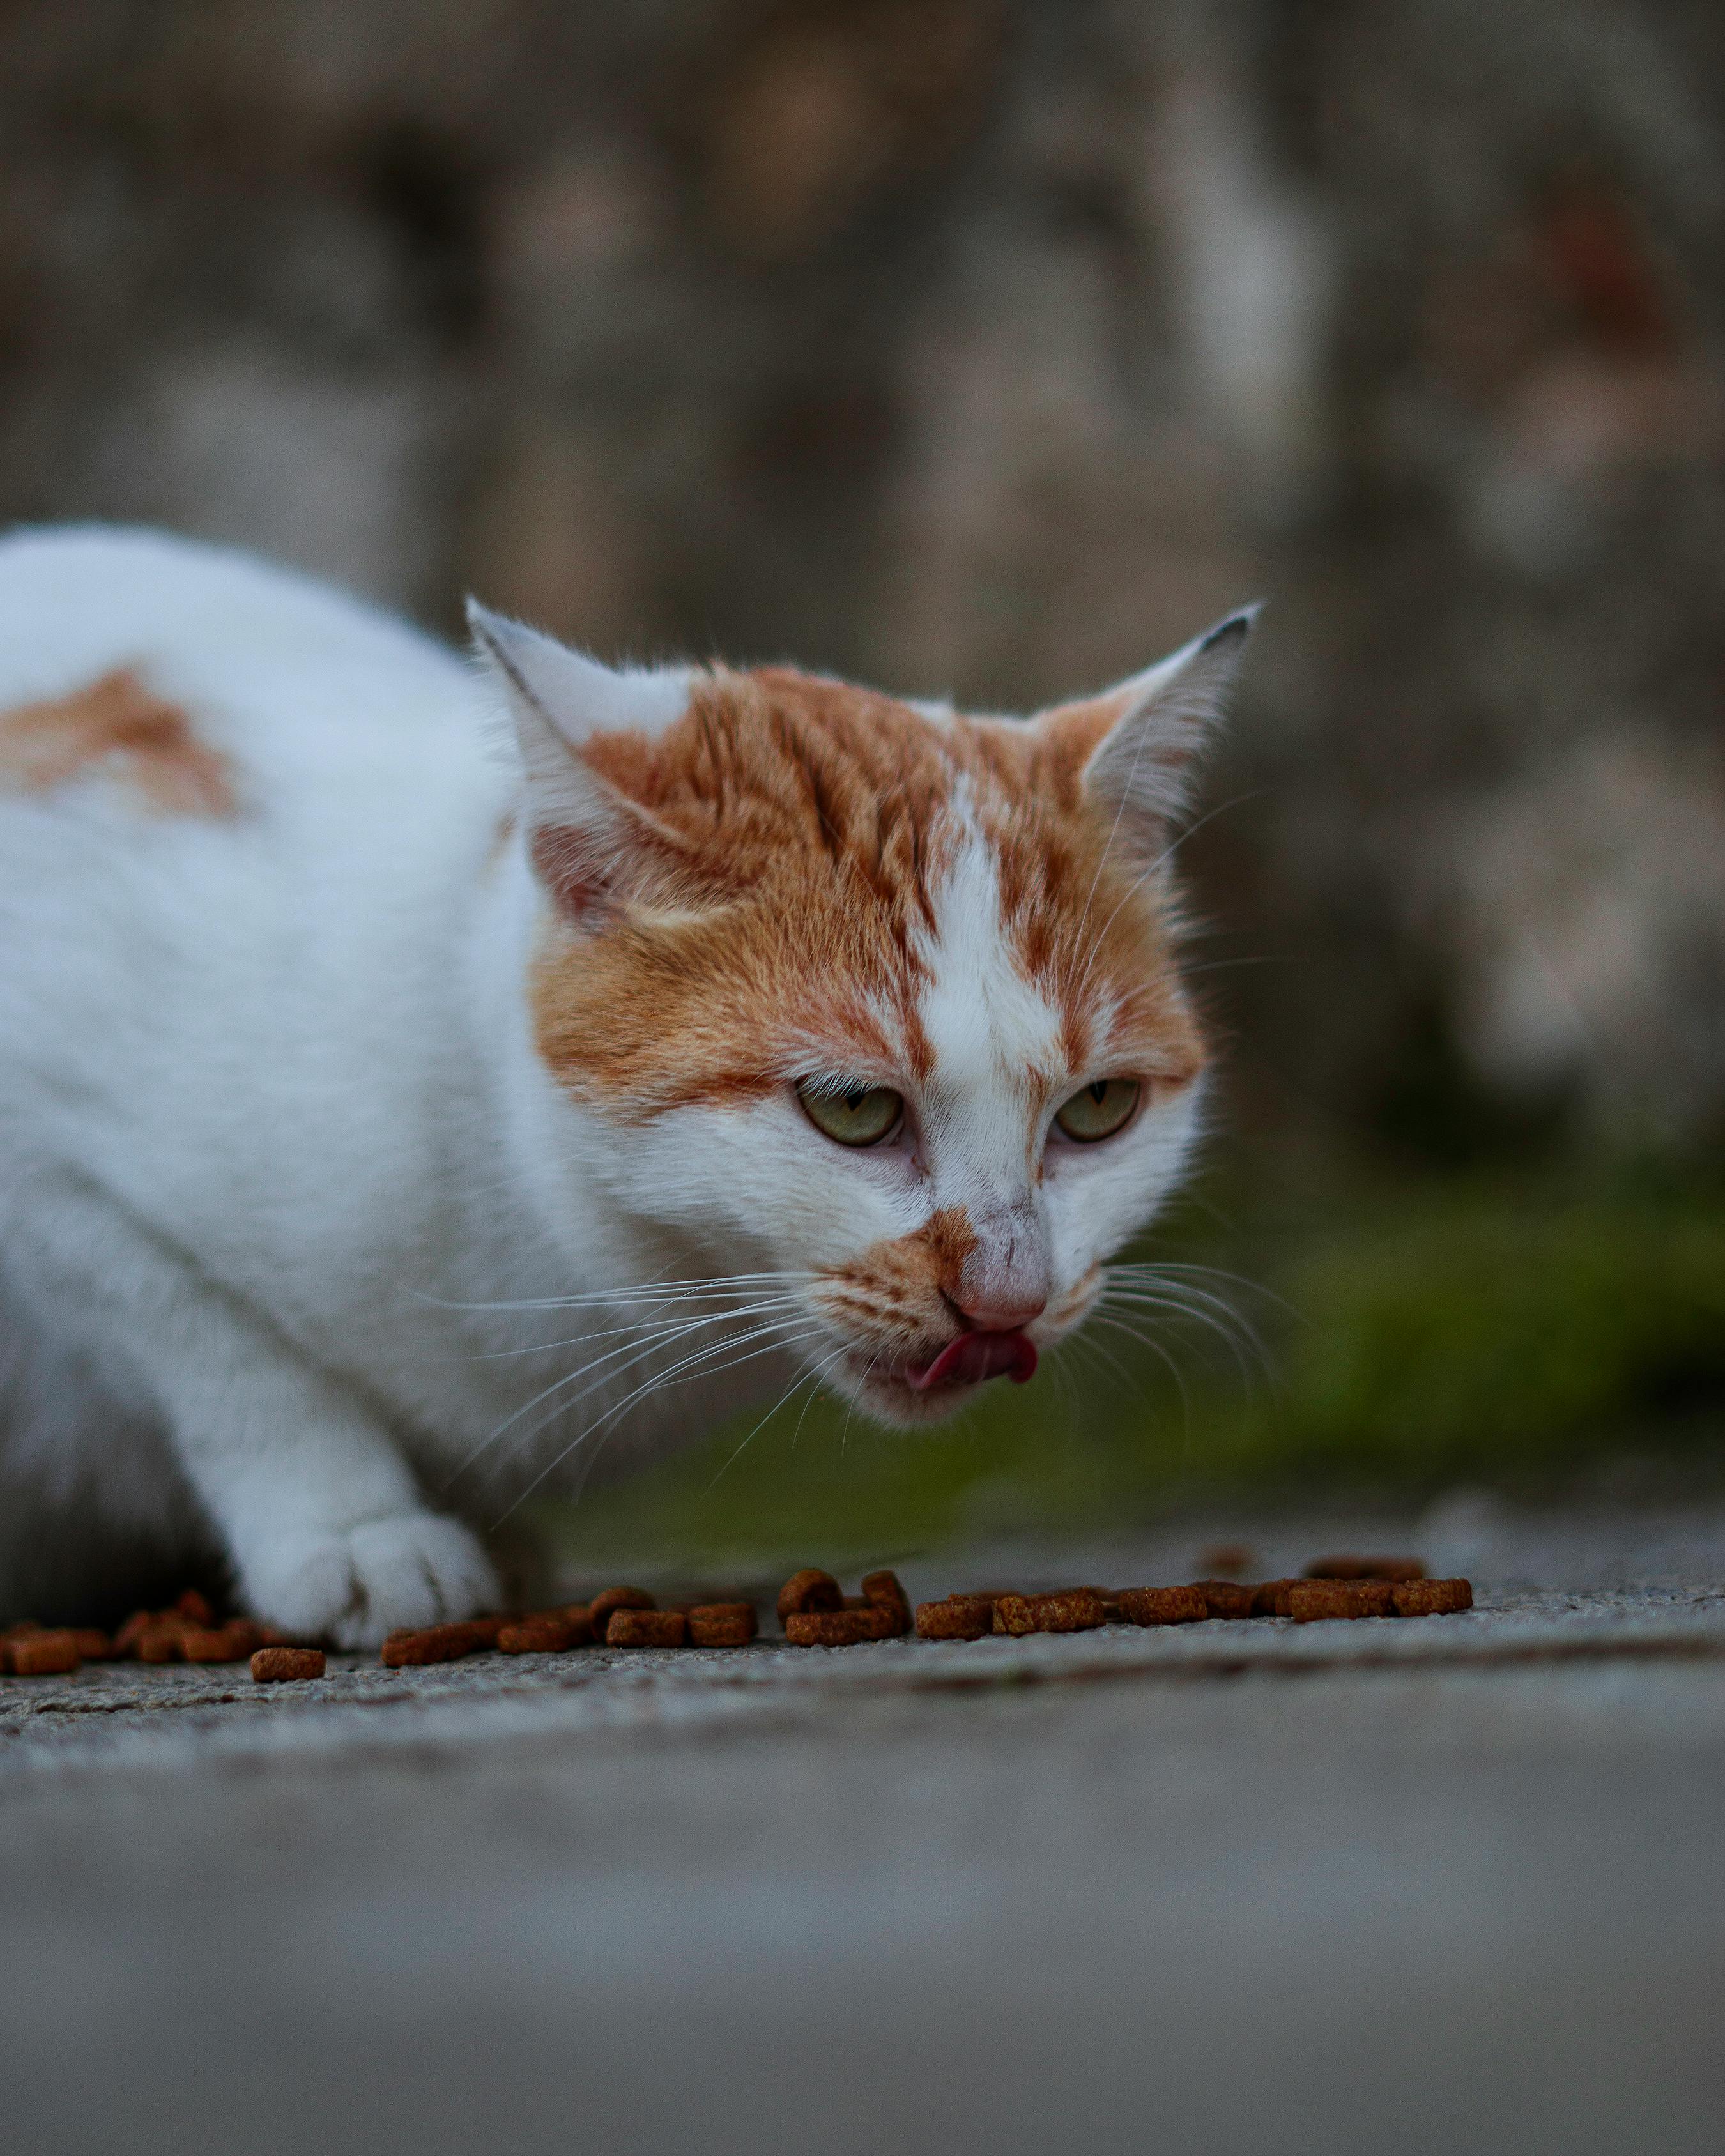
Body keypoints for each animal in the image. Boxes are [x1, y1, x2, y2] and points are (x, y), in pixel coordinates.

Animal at [0, 530, 1250, 1639]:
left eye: (1097, 1111)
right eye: (853, 1108)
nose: (1009, 1296)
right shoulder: (48, 1162)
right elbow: (223, 1355)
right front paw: (357, 1530)